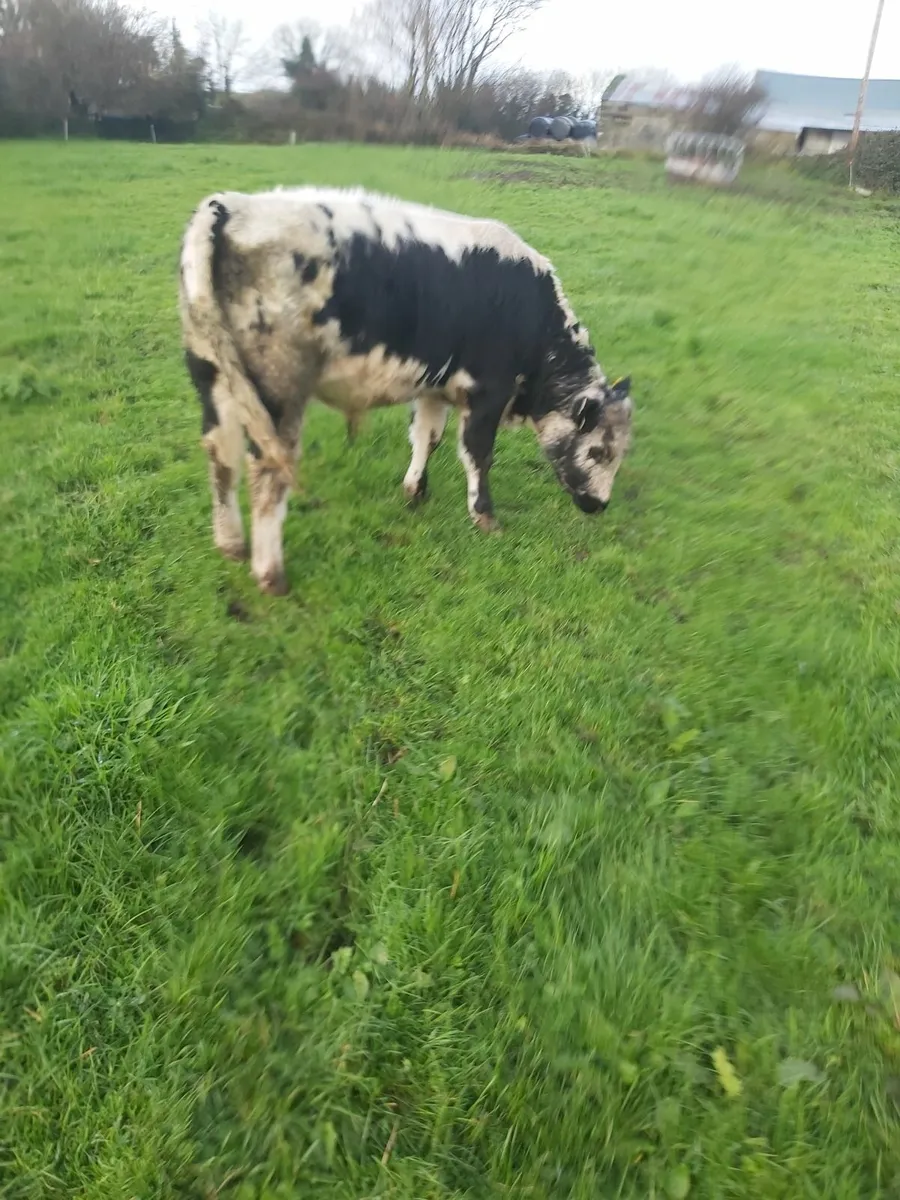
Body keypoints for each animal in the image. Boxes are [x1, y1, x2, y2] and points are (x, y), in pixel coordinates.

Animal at [179, 186, 633, 595]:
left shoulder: (434, 386)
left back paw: (231, 544)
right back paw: (270, 573)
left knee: (222, 453)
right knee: (267, 472)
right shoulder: (488, 391)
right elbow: (478, 454)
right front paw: (484, 516)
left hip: (216, 380)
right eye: (598, 451)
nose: (599, 504)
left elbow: (426, 437)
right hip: (278, 395)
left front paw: (415, 492)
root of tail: (230, 206)